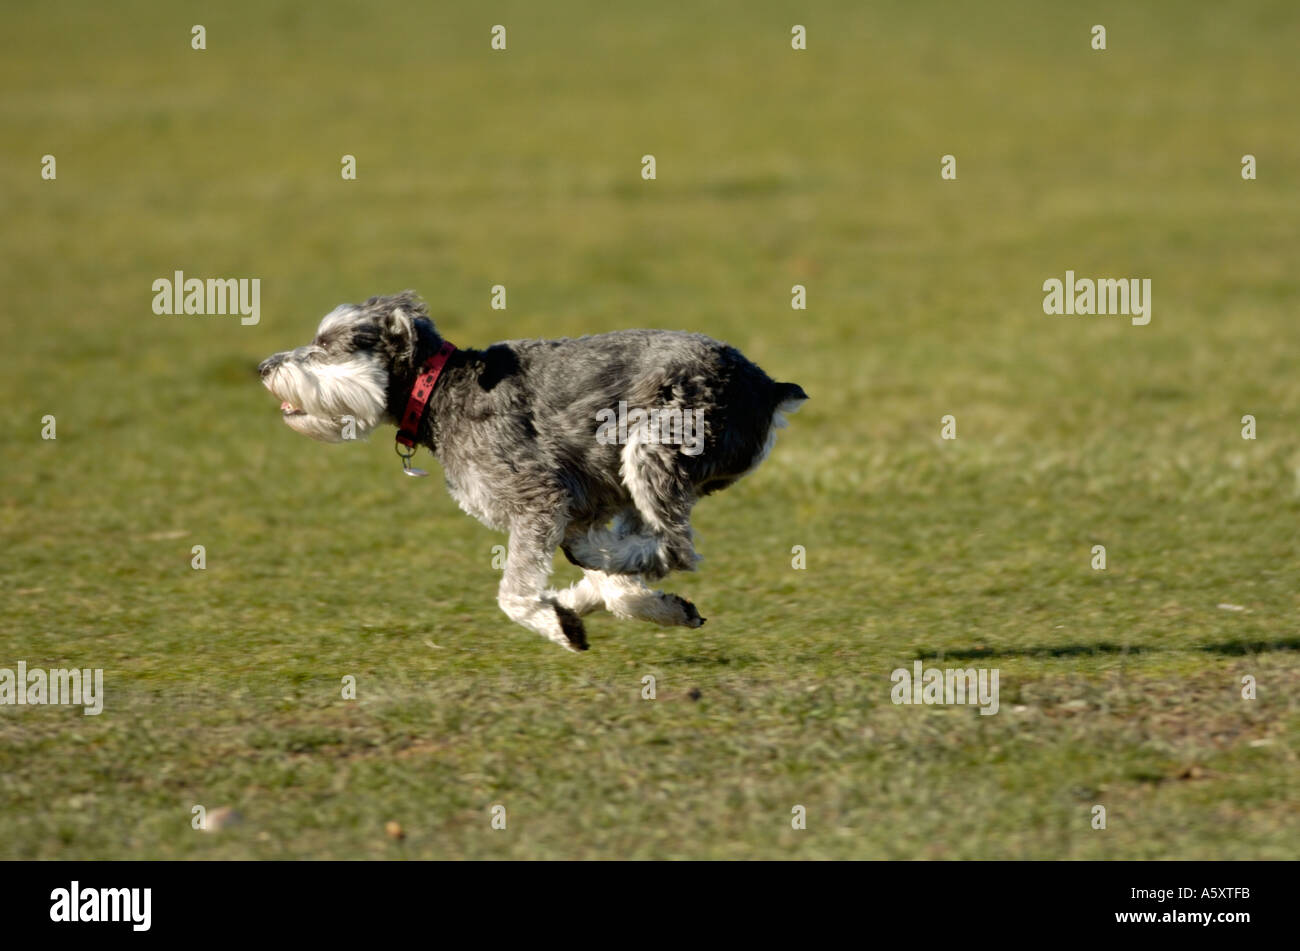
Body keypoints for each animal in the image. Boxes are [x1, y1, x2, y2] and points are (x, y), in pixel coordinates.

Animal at [258, 293, 806, 649]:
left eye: (326, 345)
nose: (264, 367)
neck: (436, 392)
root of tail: (768, 386)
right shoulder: (580, 505)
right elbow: (613, 582)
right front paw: (631, 606)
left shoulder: (537, 498)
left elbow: (514, 594)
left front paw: (559, 625)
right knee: (649, 545)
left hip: (656, 444)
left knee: (674, 547)